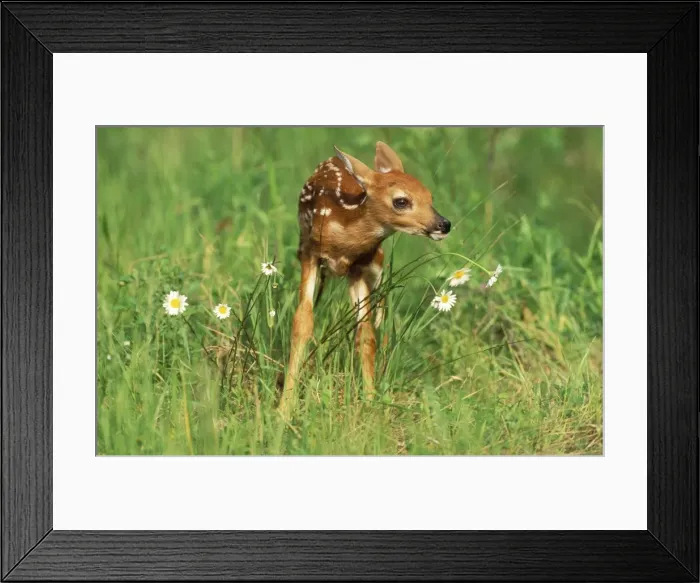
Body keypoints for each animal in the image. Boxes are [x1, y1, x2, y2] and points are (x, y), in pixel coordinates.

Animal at [279, 141, 451, 414]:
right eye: (401, 201)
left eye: (430, 197)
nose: (444, 224)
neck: (343, 238)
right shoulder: (309, 254)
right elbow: (302, 323)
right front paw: (284, 409)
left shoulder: (359, 266)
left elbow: (366, 334)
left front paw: (371, 403)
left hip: (377, 264)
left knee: (379, 312)